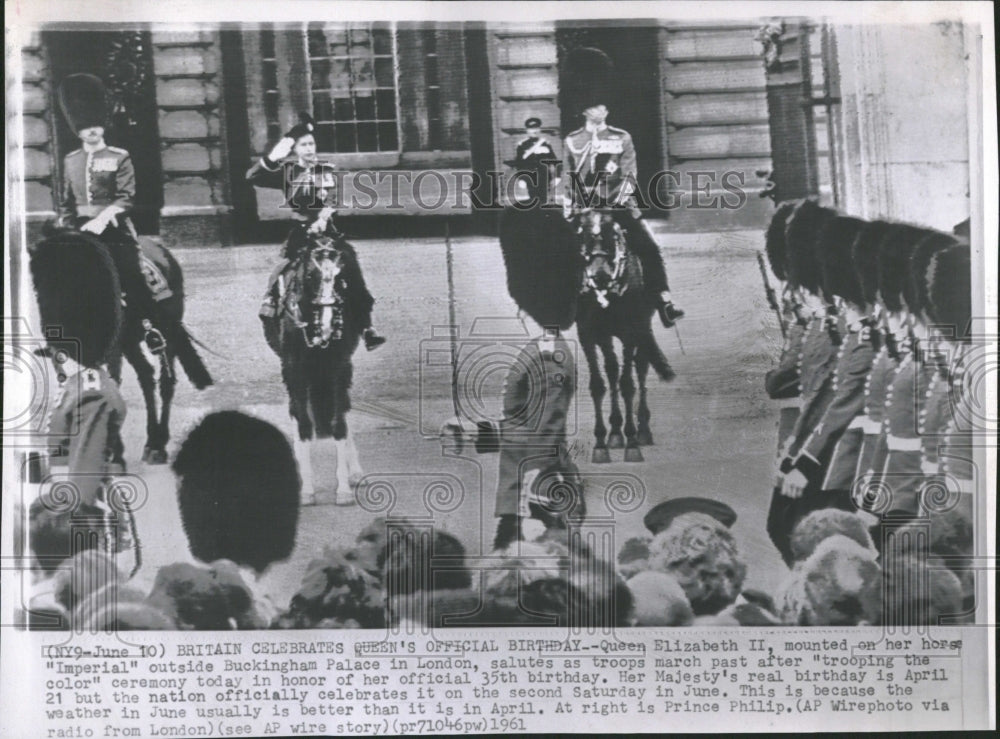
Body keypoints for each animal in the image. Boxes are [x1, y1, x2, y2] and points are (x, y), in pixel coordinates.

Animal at [36, 228, 212, 466]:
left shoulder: (112, 348)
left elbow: (112, 383)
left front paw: (113, 452)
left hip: (166, 332)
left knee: (166, 382)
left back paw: (158, 445)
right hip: (130, 343)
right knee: (146, 377)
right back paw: (150, 441)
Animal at [262, 225, 372, 502]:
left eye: (343, 274)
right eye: (311, 274)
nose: (327, 324)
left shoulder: (340, 367)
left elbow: (339, 423)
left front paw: (343, 488)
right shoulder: (294, 369)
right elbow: (302, 423)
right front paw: (307, 489)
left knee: (342, 409)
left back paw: (355, 472)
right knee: (295, 412)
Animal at [576, 210, 676, 462]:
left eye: (612, 235)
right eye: (584, 237)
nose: (600, 276)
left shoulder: (632, 331)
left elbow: (628, 384)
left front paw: (632, 442)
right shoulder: (588, 334)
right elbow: (598, 385)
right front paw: (601, 443)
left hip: (641, 328)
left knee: (639, 367)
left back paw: (642, 430)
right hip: (607, 336)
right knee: (612, 370)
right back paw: (614, 431)